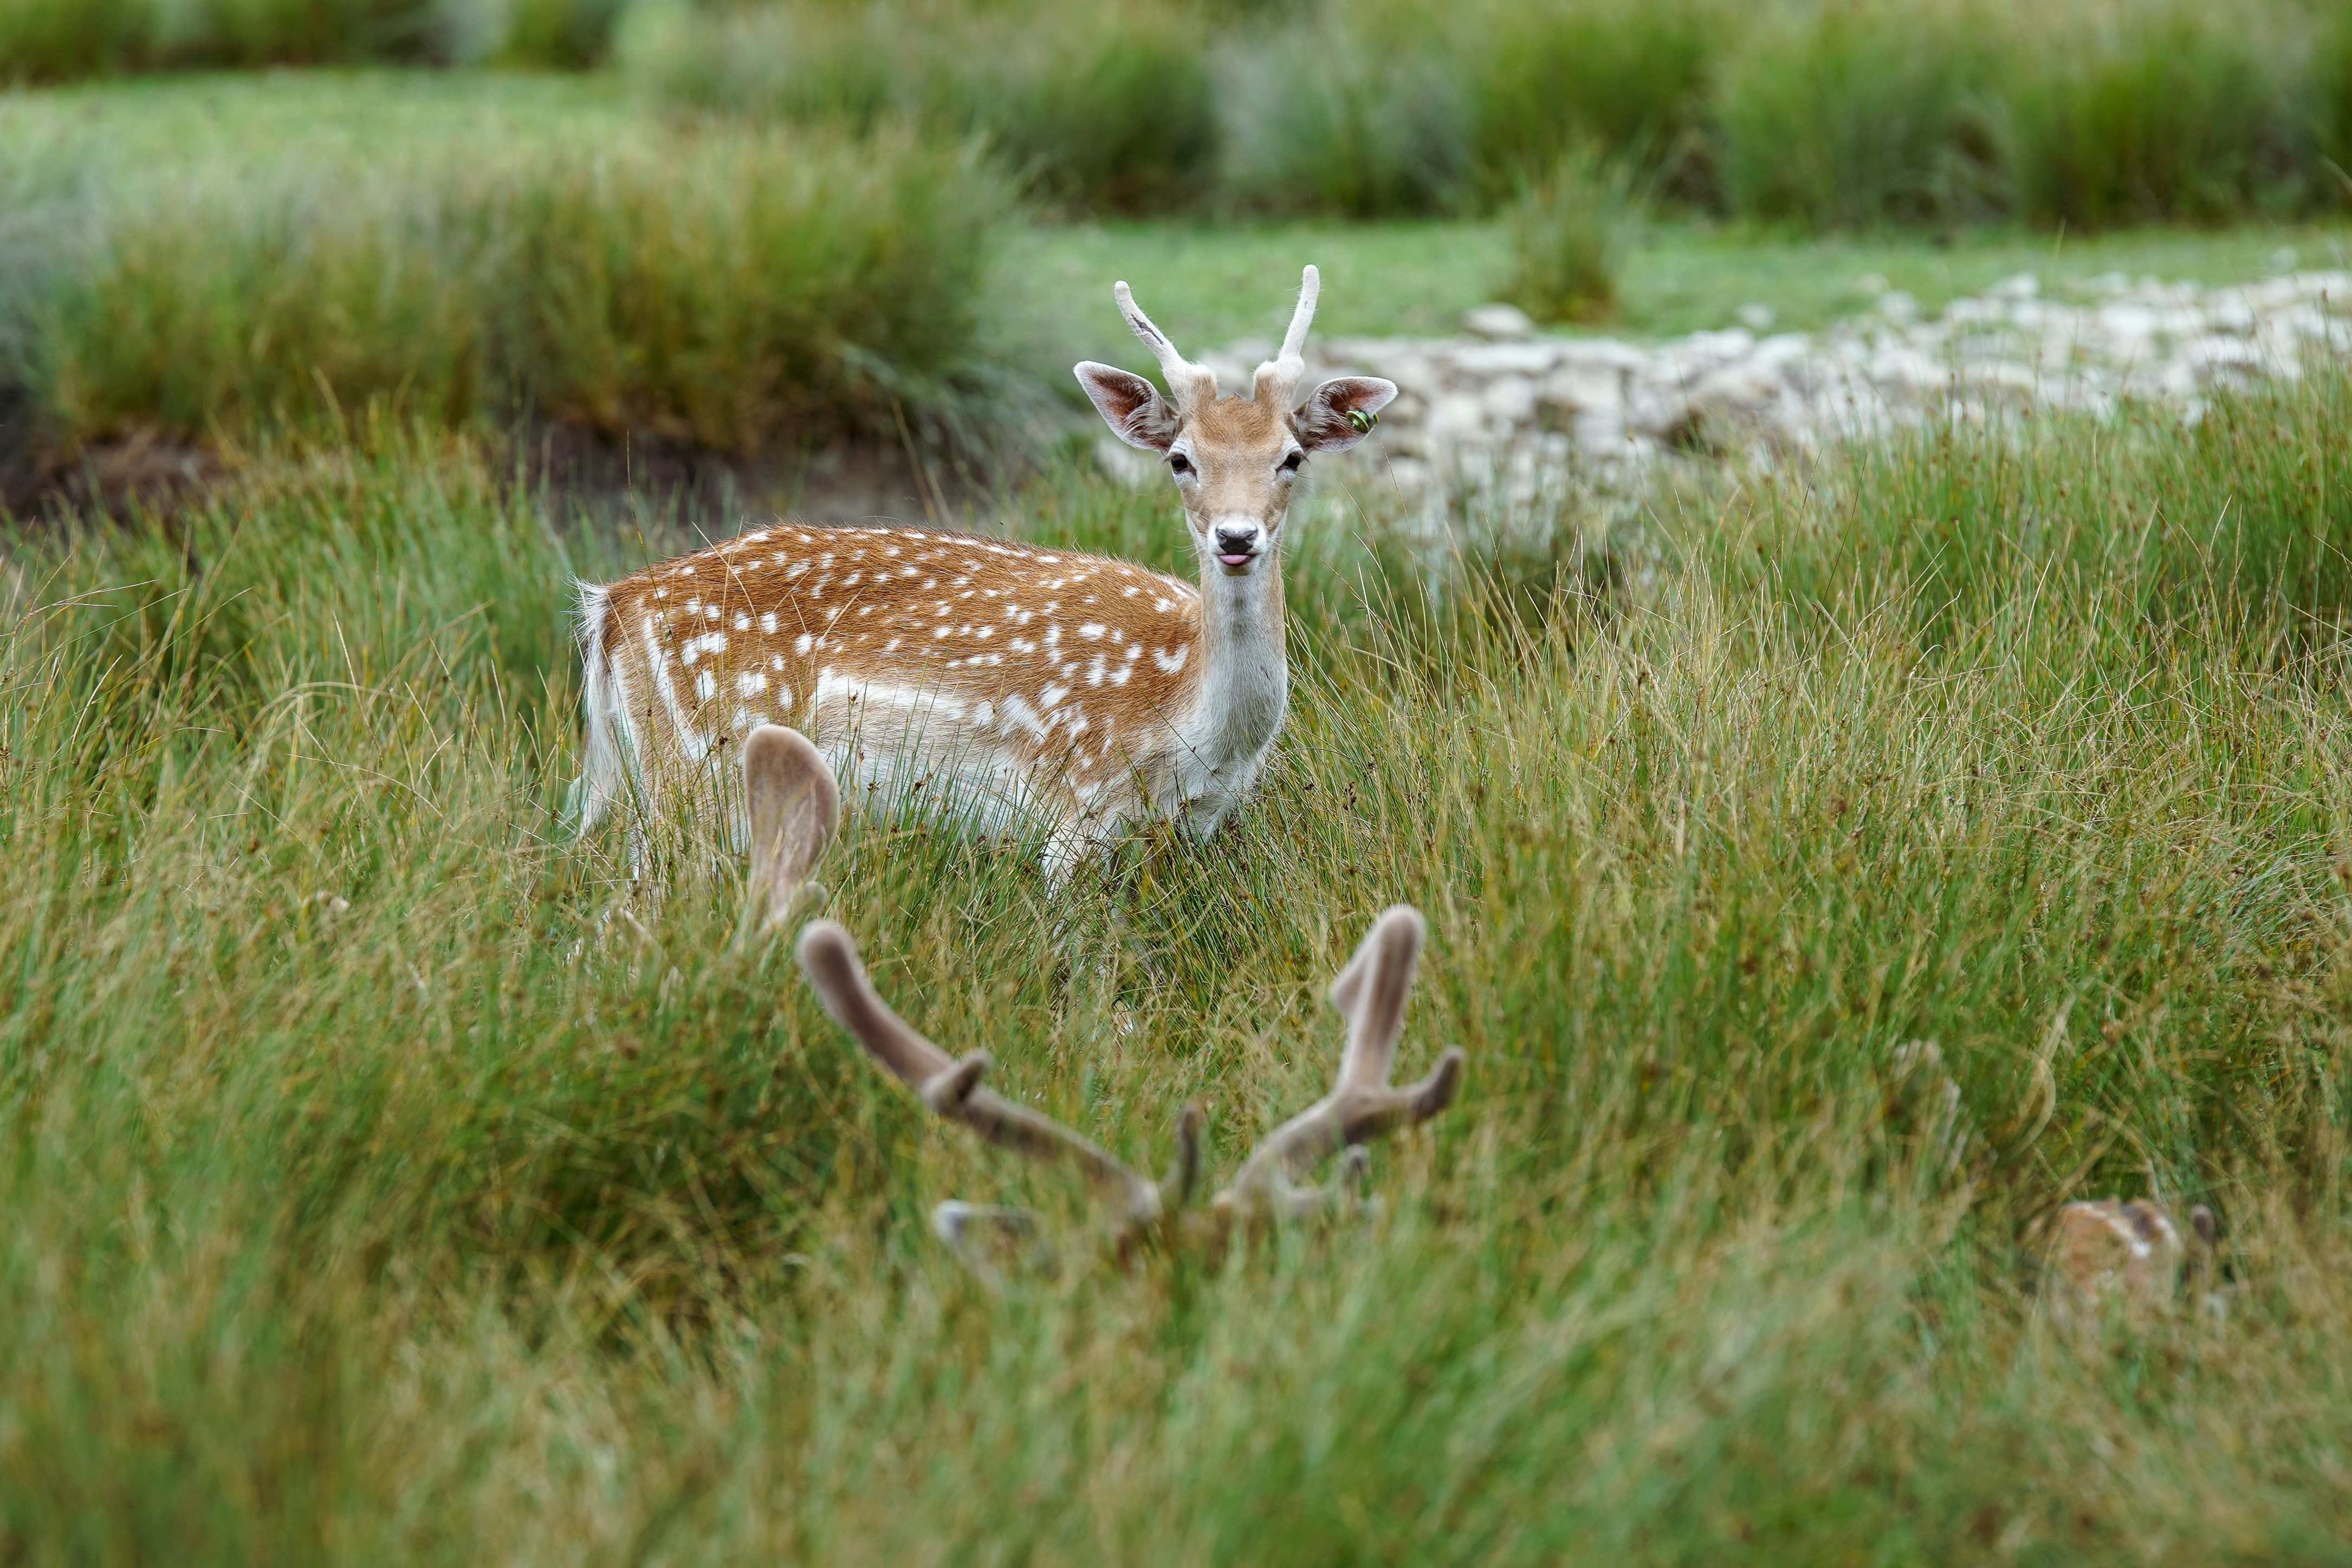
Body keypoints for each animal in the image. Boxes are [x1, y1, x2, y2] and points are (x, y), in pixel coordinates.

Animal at [574, 265, 1397, 879]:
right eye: (1179, 458)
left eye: (1292, 458)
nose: (1235, 537)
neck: (1196, 731)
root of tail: (612, 604)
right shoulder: (1073, 810)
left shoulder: (1198, 828)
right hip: (694, 768)